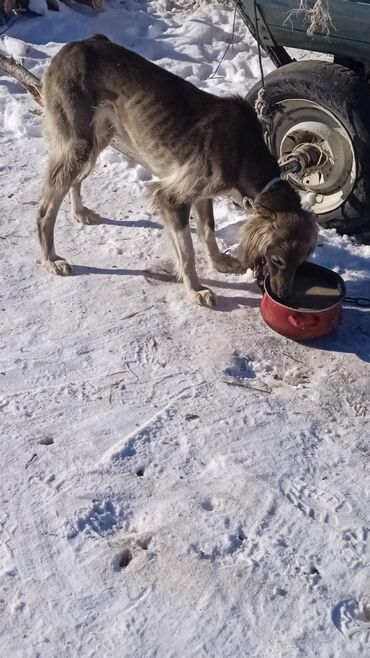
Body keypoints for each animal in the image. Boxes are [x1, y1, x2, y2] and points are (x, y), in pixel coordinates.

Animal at [36, 33, 316, 304]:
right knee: (45, 211)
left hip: (97, 139)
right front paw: (196, 290)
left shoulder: (203, 194)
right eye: (277, 260)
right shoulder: (171, 198)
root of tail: (73, 46)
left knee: (75, 181)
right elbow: (187, 252)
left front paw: (218, 262)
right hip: (80, 144)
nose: (283, 296)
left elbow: (207, 230)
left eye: (300, 263)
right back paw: (51, 260)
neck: (243, 151)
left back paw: (79, 213)